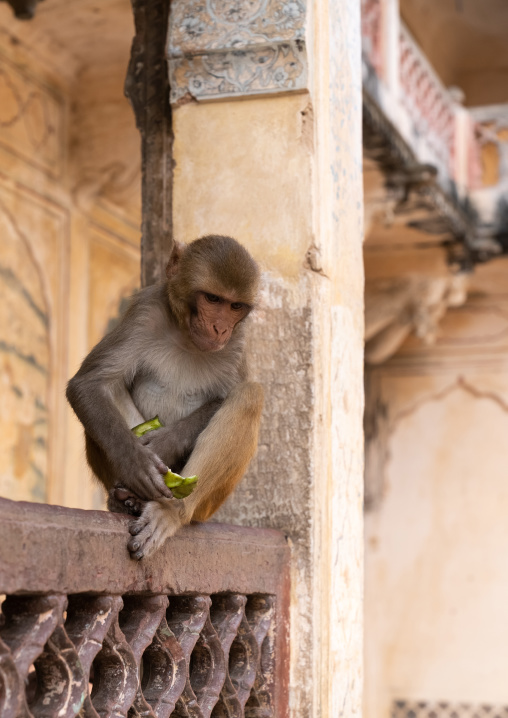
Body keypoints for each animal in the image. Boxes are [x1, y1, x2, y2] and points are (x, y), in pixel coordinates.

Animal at [66, 235, 264, 560]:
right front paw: (137, 464)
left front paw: (163, 443)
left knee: (250, 395)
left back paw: (171, 511)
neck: (187, 336)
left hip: (210, 506)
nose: (220, 328)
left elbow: (224, 398)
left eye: (235, 306)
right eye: (213, 299)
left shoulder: (237, 341)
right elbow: (89, 384)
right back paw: (124, 498)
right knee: (111, 384)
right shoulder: (146, 309)